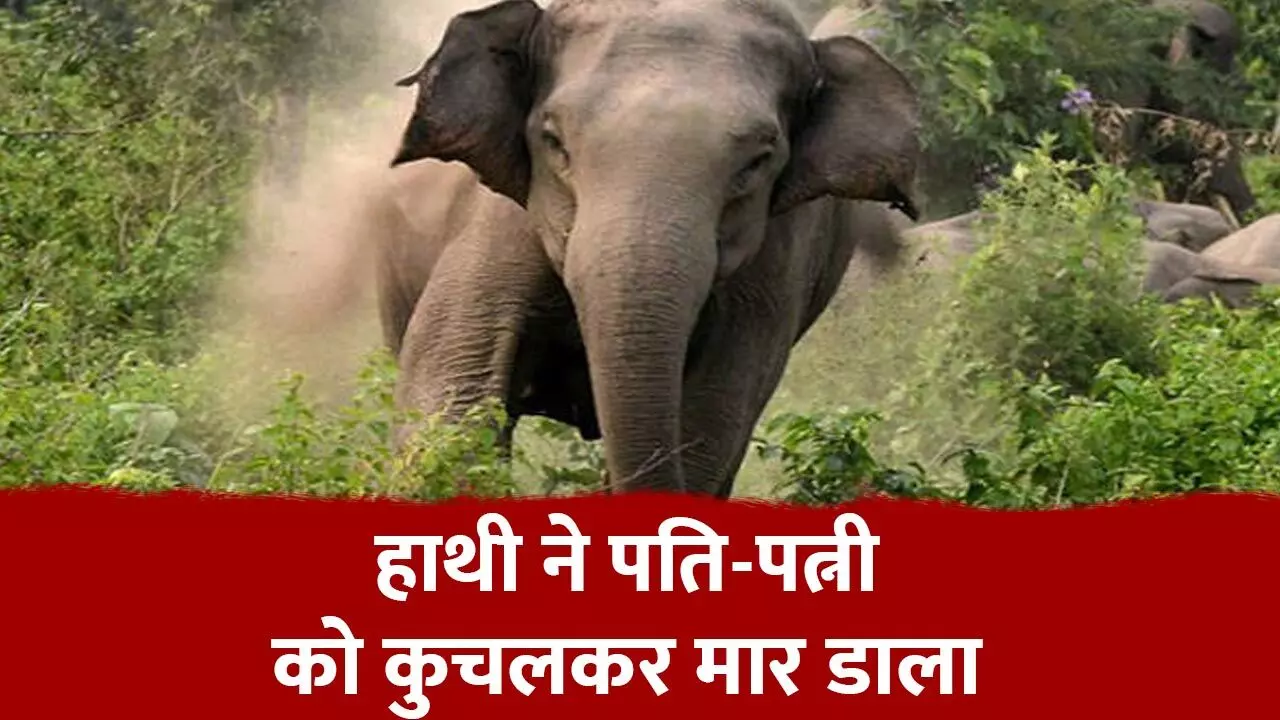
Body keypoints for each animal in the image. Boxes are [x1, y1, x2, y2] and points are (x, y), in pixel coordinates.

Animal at [379, 0, 921, 495]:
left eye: (758, 161)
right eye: (554, 141)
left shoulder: (776, 264)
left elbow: (716, 415)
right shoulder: (498, 223)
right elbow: (451, 384)